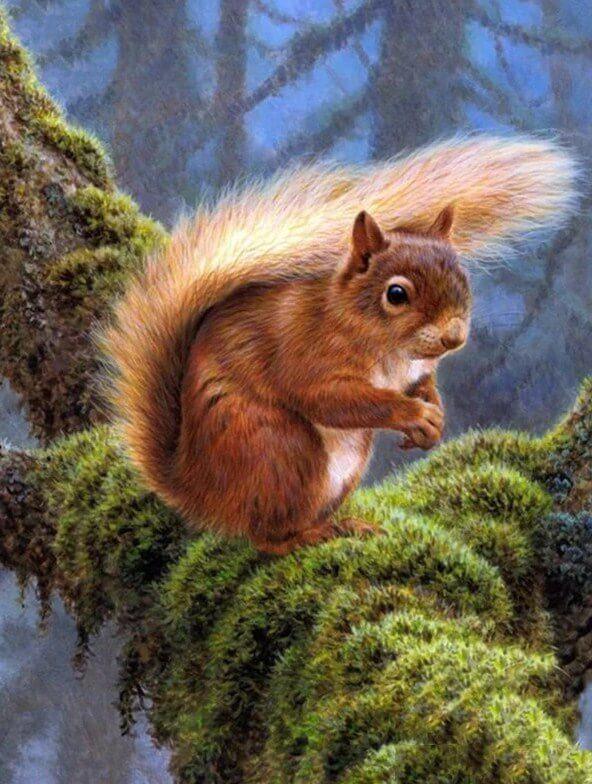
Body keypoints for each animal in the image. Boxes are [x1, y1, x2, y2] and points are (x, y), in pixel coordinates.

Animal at [101, 136, 577, 554]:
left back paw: (345, 524)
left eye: (462, 277)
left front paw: (434, 417)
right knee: (264, 536)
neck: (388, 349)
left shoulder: (414, 371)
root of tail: (196, 487)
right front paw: (412, 414)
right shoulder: (307, 354)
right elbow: (333, 399)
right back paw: (307, 537)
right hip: (278, 447)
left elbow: (424, 385)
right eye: (396, 294)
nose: (454, 336)